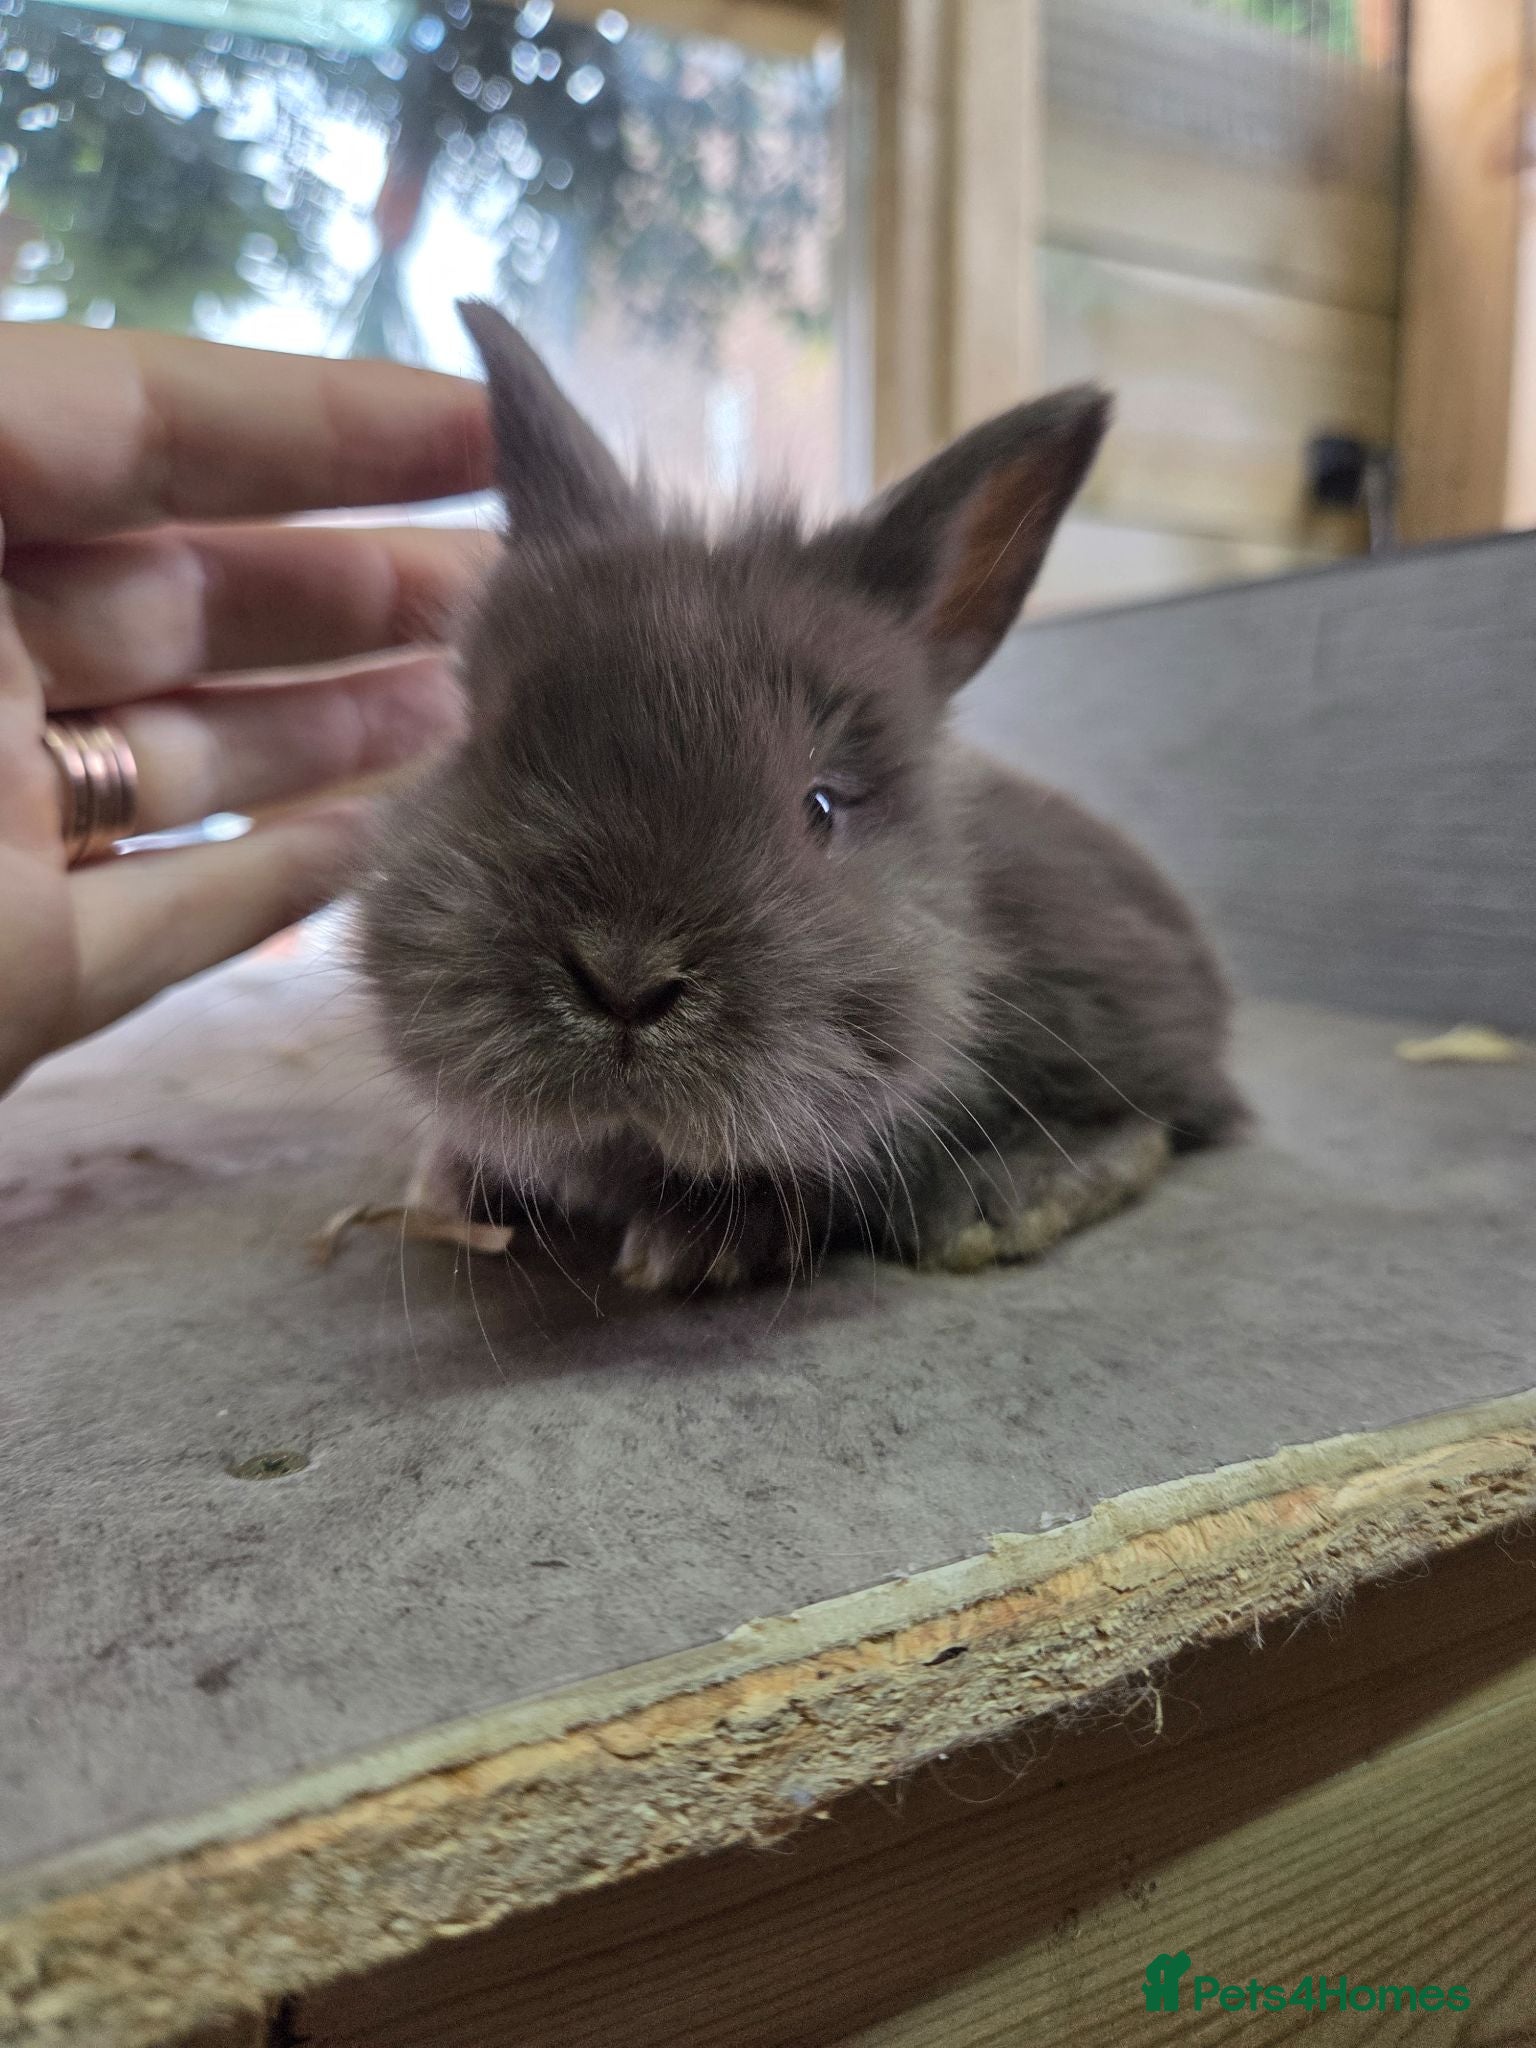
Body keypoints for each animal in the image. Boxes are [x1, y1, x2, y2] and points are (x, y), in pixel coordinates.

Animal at [356, 301, 1244, 1294]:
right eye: (493, 749)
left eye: (821, 806)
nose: (624, 980)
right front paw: (450, 1181)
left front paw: (689, 1242)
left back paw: (1003, 1198)